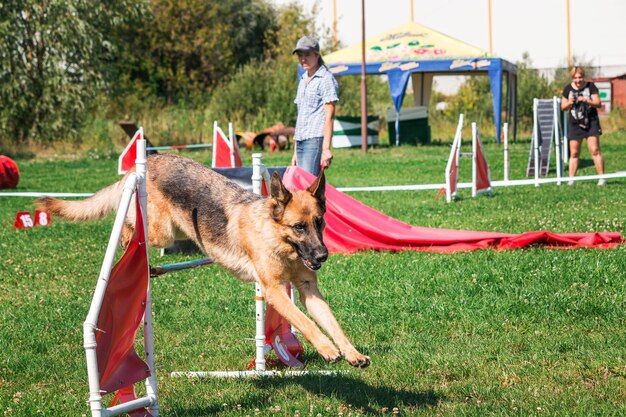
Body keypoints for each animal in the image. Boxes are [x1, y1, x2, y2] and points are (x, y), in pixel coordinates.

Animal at [36, 153, 368, 368]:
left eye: (319, 223)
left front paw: (351, 353)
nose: (323, 255)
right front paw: (326, 349)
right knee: (130, 225)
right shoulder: (274, 291)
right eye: (299, 227)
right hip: (161, 232)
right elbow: (307, 323)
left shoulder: (309, 291)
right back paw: (130, 239)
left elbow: (332, 323)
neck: (278, 240)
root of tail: (145, 163)